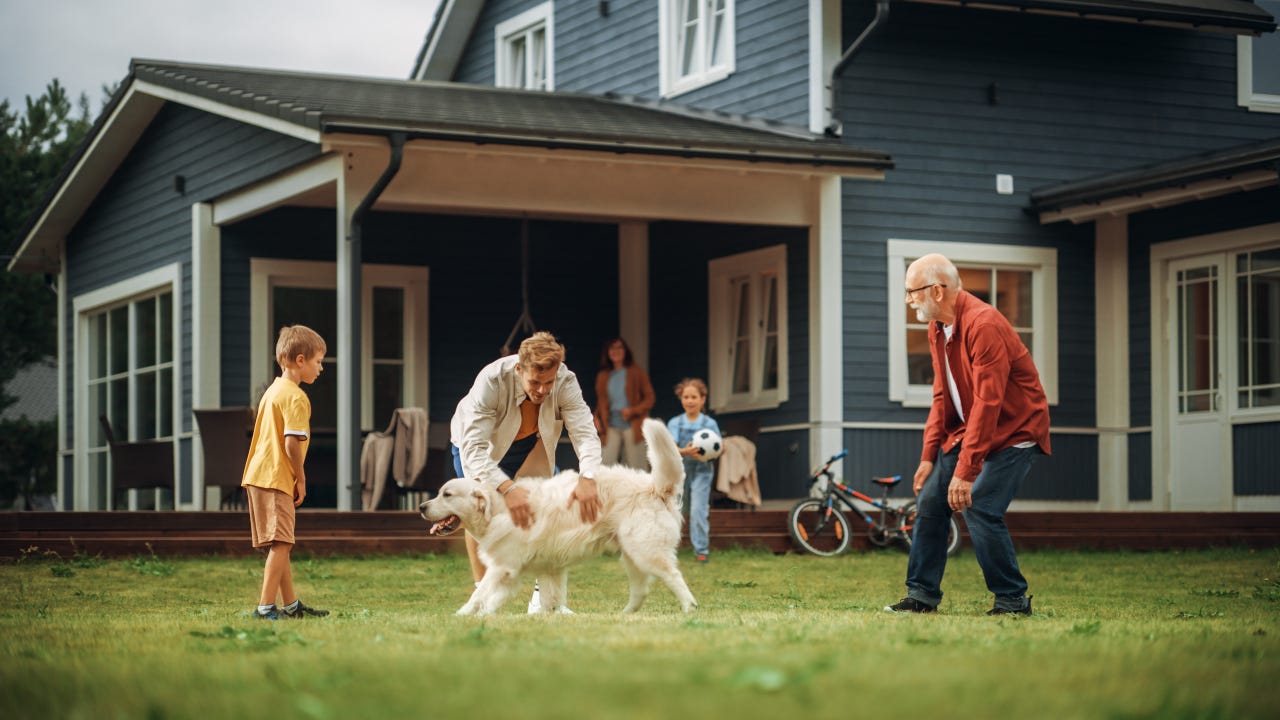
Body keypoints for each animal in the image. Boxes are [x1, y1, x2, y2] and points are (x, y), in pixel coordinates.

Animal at [417, 417, 701, 614]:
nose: (421, 507)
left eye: (447, 494)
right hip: (633, 556)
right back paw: (624, 614)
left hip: (646, 552)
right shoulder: (543, 568)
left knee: (673, 576)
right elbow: (544, 598)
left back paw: (689, 608)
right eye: (439, 493)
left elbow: (479, 596)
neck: (498, 510)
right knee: (641, 590)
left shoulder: (502, 567)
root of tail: (655, 487)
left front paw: (461, 616)